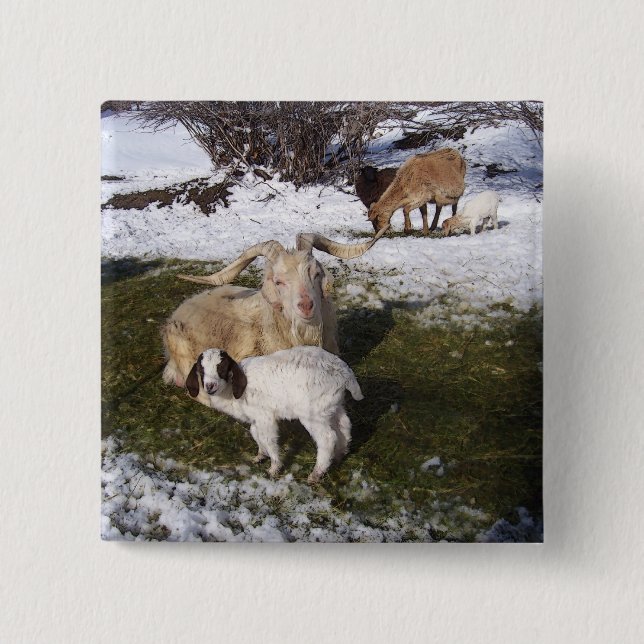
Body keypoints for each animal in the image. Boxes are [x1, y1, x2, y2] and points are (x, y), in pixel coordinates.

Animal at [186, 346, 364, 483]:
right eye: (201, 370)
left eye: (222, 368)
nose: (210, 386)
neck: (231, 390)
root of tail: (343, 372)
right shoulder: (256, 418)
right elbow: (255, 434)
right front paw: (260, 456)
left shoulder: (265, 416)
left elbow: (269, 439)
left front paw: (274, 467)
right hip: (332, 405)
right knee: (344, 425)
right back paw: (340, 454)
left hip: (313, 412)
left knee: (327, 438)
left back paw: (316, 473)